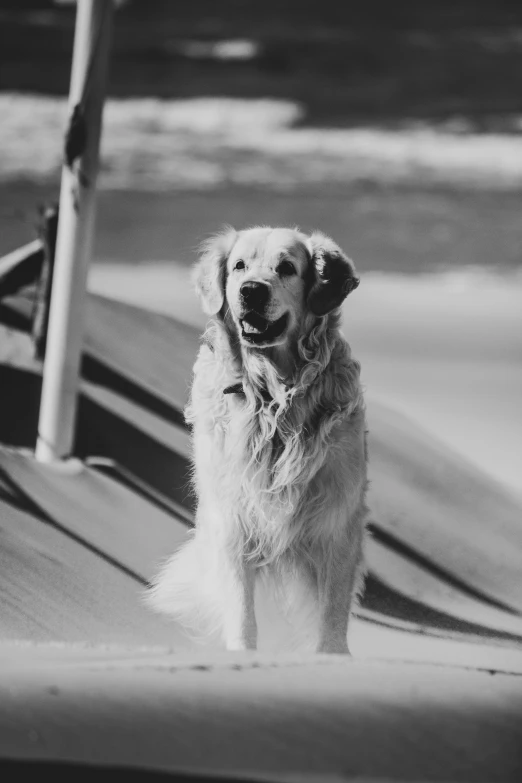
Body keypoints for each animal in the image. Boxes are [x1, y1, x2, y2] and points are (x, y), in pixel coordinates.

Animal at [147, 227, 366, 656]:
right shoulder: (233, 516)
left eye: (287, 268)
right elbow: (241, 610)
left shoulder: (338, 522)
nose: (251, 291)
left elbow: (332, 612)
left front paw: (332, 659)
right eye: (238, 266)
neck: (274, 399)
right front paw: (243, 656)